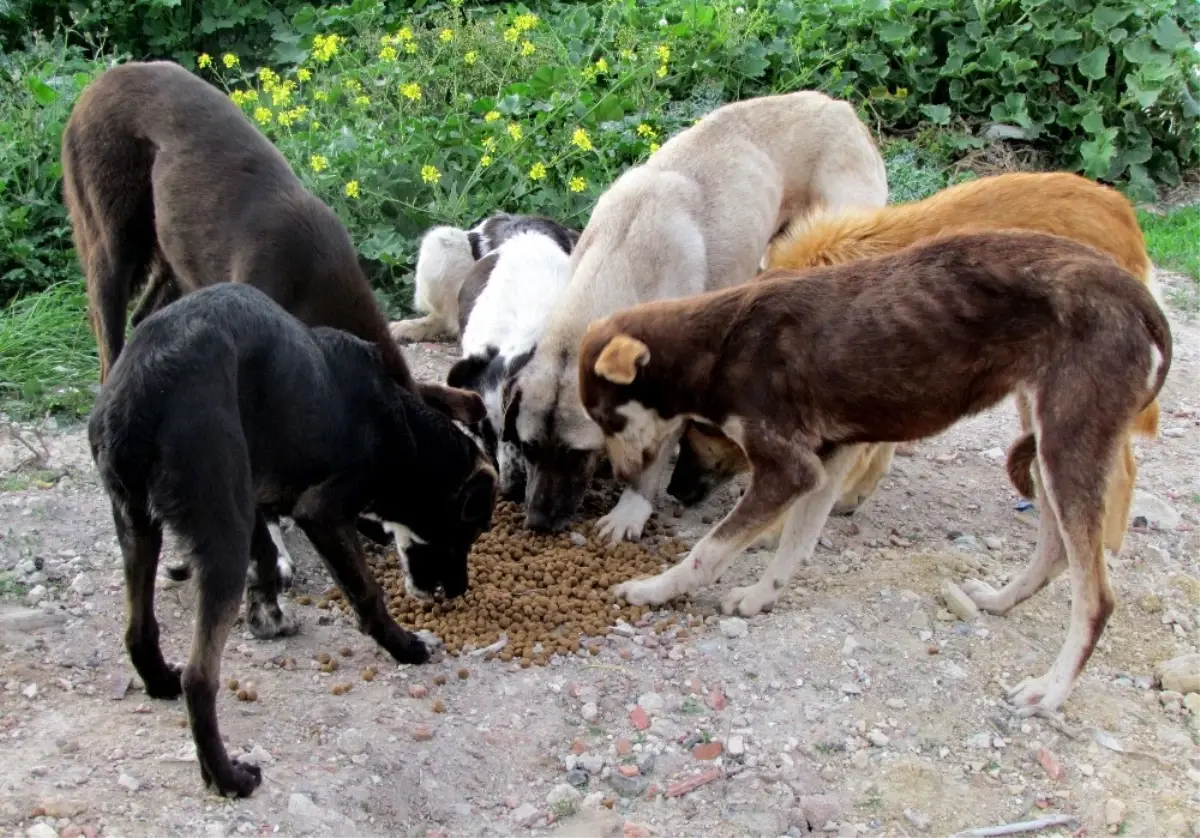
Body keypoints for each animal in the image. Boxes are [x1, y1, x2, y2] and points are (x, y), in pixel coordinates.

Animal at [87, 282, 494, 797]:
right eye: (469, 532)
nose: (460, 590)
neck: (402, 428)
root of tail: (140, 392)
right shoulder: (321, 511)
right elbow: (366, 592)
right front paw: (404, 647)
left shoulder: (256, 497)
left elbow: (265, 555)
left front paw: (268, 612)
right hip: (221, 536)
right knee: (200, 678)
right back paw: (226, 776)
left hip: (137, 523)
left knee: (138, 629)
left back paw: (159, 680)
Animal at [499, 88, 892, 537]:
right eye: (529, 448)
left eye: (575, 455)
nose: (538, 522)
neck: (619, 255)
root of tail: (841, 108)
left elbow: (652, 460)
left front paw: (631, 509)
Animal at [580, 230, 1171, 710]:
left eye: (609, 420)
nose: (628, 482)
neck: (718, 344)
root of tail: (1140, 299)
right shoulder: (828, 460)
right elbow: (795, 545)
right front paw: (760, 597)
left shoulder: (789, 469)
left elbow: (708, 551)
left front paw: (654, 589)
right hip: (1048, 440)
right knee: (1053, 550)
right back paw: (1000, 601)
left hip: (1069, 442)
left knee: (1096, 597)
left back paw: (1050, 690)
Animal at [667, 169, 1161, 554]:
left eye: (694, 429)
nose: (672, 491)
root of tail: (1121, 212)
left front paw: (775, 530)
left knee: (1121, 469)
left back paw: (1104, 543)